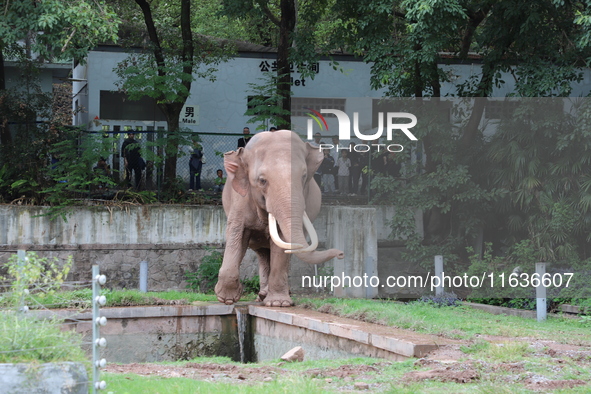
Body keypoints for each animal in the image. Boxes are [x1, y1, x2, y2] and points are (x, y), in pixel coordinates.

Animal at [215, 131, 344, 306]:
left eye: (304, 176)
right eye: (262, 180)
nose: (341, 254)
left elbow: (281, 243)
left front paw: (278, 303)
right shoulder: (240, 200)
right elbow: (237, 235)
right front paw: (227, 299)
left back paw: (272, 295)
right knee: (262, 253)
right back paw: (262, 295)